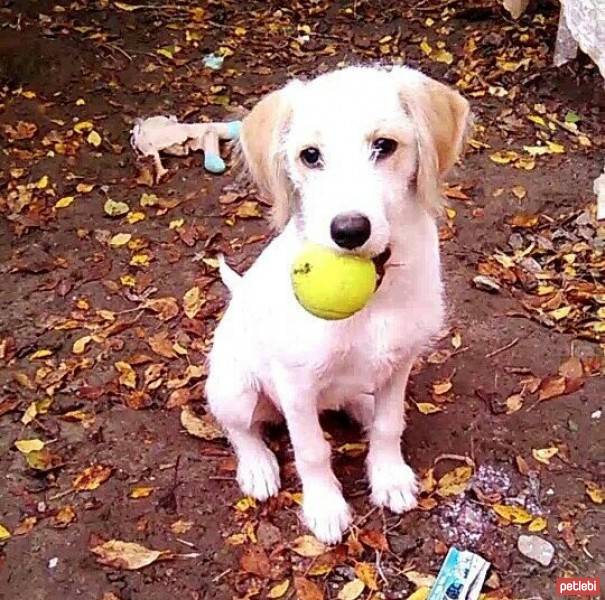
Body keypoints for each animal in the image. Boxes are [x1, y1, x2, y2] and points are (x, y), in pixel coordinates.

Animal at [205, 65, 470, 544]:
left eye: (385, 146)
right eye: (310, 156)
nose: (349, 231)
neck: (377, 298)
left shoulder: (401, 360)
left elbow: (389, 424)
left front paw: (388, 476)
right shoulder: (295, 385)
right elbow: (311, 450)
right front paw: (325, 506)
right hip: (233, 389)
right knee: (240, 429)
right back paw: (257, 466)